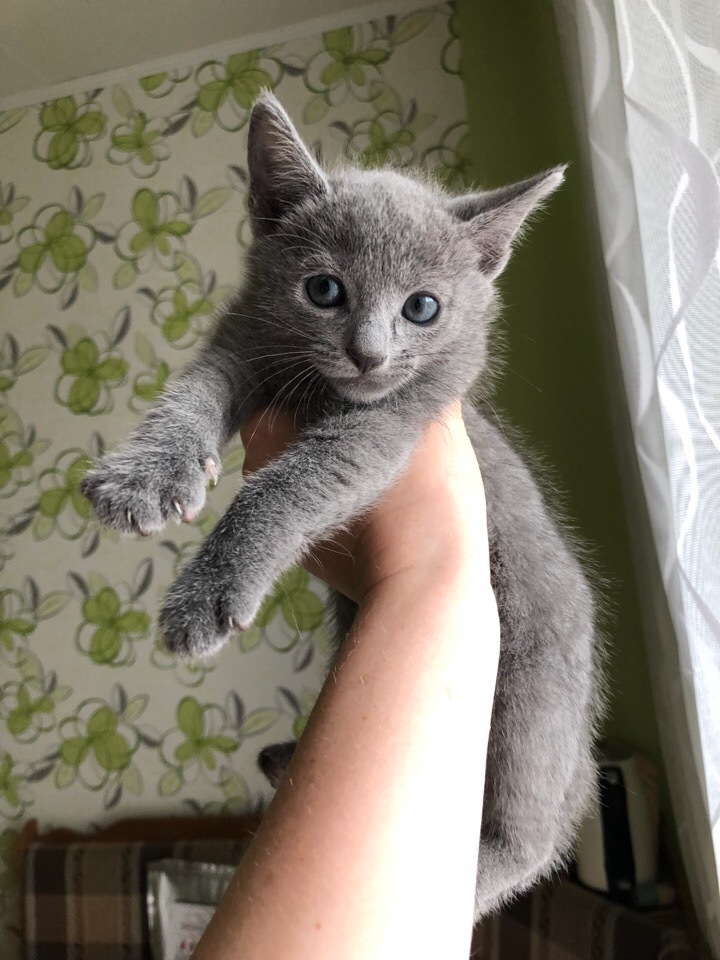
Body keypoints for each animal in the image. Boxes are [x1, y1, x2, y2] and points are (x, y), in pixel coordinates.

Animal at [81, 94, 600, 920]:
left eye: (423, 307)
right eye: (324, 290)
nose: (369, 354)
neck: (324, 391)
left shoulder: (391, 426)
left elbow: (291, 482)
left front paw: (206, 593)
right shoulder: (243, 341)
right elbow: (190, 393)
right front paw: (143, 476)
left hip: (531, 695)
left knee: (529, 839)